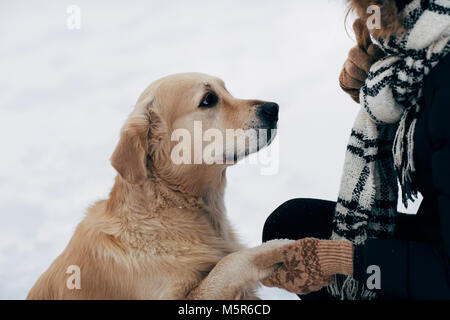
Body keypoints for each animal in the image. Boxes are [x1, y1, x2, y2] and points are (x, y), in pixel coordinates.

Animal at [27, 72, 292, 300]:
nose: (273, 108)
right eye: (208, 99)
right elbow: (228, 263)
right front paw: (273, 247)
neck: (173, 204)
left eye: (226, 90)